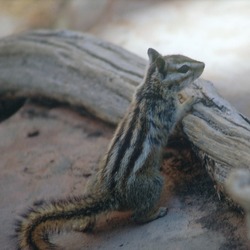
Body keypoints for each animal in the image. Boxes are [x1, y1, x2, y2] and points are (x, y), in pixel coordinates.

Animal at [14, 47, 204, 249]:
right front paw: (191, 100)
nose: (203, 65)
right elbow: (178, 115)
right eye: (184, 68)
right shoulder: (166, 112)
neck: (151, 86)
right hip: (154, 183)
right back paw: (154, 213)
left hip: (91, 183)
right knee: (137, 217)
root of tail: (110, 195)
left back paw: (82, 223)